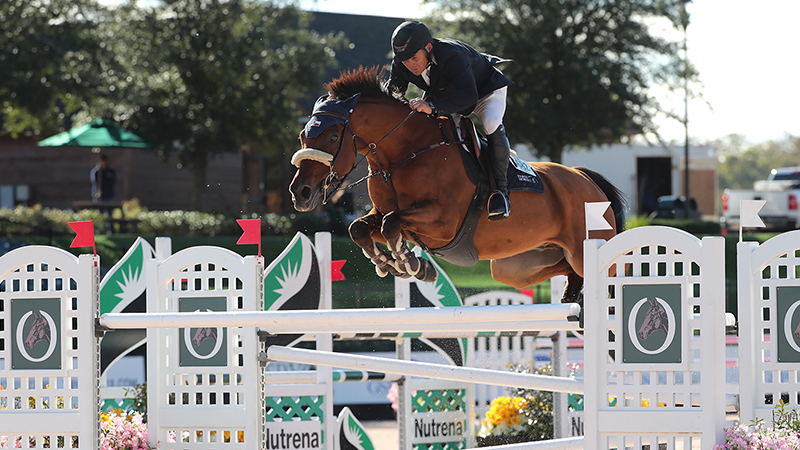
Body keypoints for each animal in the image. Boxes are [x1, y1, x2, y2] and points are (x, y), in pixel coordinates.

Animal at [288, 67, 624, 302]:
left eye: (333, 136)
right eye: (303, 136)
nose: (301, 193)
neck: (405, 153)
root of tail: (585, 178)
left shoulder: (444, 221)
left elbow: (392, 223)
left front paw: (408, 263)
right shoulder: (383, 213)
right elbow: (361, 227)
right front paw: (391, 262)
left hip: (586, 249)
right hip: (516, 268)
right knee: (566, 270)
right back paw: (571, 294)